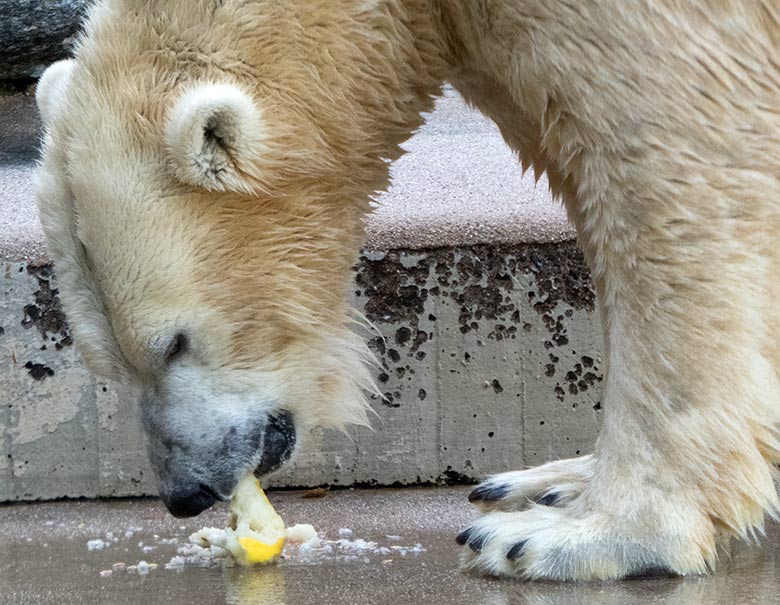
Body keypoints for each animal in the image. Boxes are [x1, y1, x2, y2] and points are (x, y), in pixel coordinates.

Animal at [33, 0, 780, 580]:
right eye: (111, 363)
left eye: (173, 344)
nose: (185, 491)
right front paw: (560, 492)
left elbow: (675, 171)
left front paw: (574, 536)